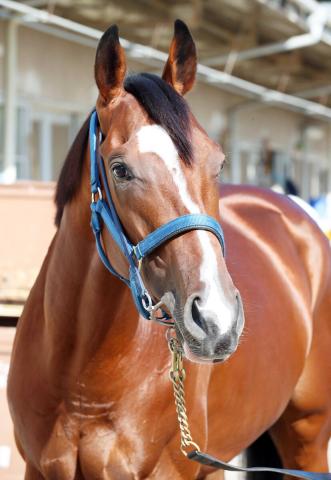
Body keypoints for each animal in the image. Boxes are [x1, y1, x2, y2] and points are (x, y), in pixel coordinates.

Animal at [7, 19, 331, 480]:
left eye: (218, 162)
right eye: (120, 170)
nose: (216, 319)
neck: (82, 382)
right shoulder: (37, 467)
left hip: (308, 436)